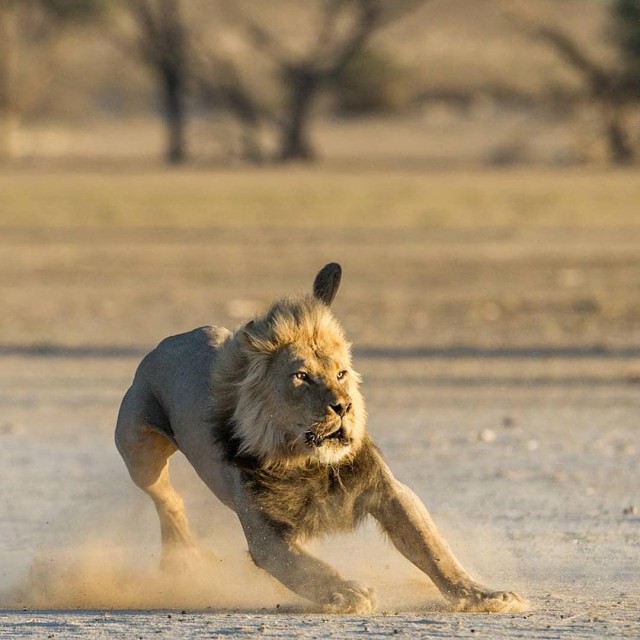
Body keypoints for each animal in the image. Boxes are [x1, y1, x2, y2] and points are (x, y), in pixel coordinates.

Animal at [116, 262, 524, 612]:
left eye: (341, 373)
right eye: (302, 377)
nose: (343, 407)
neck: (305, 461)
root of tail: (172, 340)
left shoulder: (388, 491)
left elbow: (432, 548)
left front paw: (482, 595)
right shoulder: (266, 532)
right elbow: (305, 566)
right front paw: (346, 592)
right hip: (140, 450)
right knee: (168, 498)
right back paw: (182, 558)